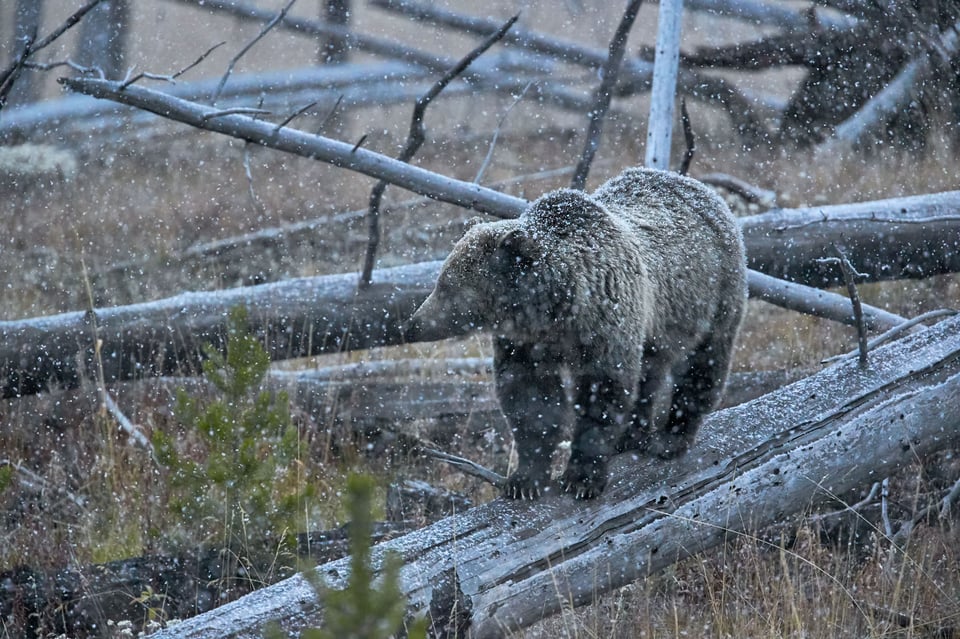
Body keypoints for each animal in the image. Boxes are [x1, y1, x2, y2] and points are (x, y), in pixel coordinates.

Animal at [402, 169, 748, 500]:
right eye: (440, 279)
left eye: (448, 286)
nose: (413, 324)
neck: (553, 312)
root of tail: (699, 188)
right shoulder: (525, 344)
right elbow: (530, 400)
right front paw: (525, 479)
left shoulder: (606, 325)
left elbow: (602, 396)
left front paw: (582, 479)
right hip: (657, 328)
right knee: (651, 371)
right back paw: (632, 436)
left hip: (713, 296)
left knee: (703, 366)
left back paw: (670, 439)